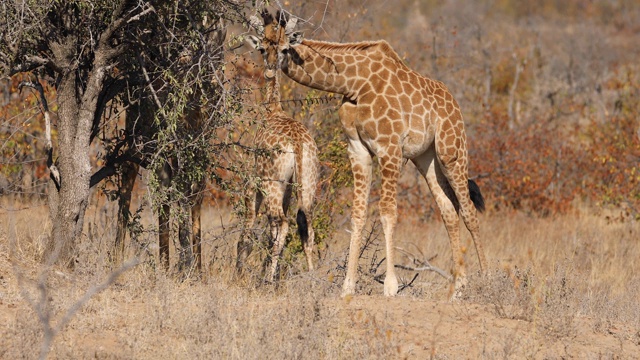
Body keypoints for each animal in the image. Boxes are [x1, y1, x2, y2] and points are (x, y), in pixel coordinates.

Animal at [238, 18, 320, 282]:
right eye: (264, 48)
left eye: (284, 49)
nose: (271, 68)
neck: (272, 110)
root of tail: (297, 143)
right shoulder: (287, 189)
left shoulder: (253, 182)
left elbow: (248, 229)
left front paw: (239, 272)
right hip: (307, 182)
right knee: (306, 224)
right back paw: (311, 277)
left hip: (272, 183)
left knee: (283, 223)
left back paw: (266, 278)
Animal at [250, 10, 484, 298]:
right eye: (262, 48)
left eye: (284, 48)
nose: (270, 70)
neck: (354, 83)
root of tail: (454, 103)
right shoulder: (358, 149)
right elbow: (358, 214)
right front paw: (348, 285)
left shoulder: (389, 148)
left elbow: (388, 212)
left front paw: (391, 286)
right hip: (426, 158)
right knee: (449, 211)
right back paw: (458, 288)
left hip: (452, 152)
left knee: (469, 210)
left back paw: (486, 278)